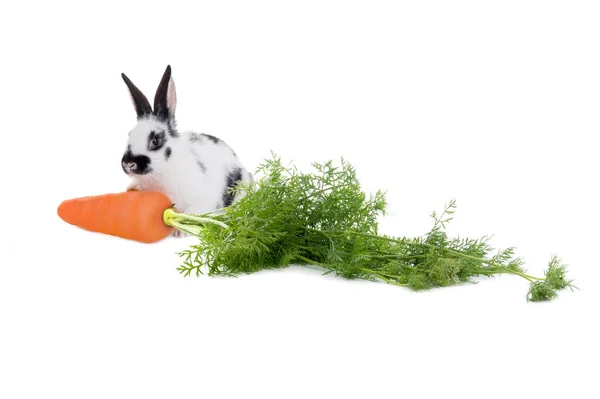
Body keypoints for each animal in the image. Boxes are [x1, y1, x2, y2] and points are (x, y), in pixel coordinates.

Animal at [120, 64, 252, 236]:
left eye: (155, 140)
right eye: (130, 134)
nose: (128, 164)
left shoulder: (202, 200)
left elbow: (191, 213)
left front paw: (179, 232)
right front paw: (132, 188)